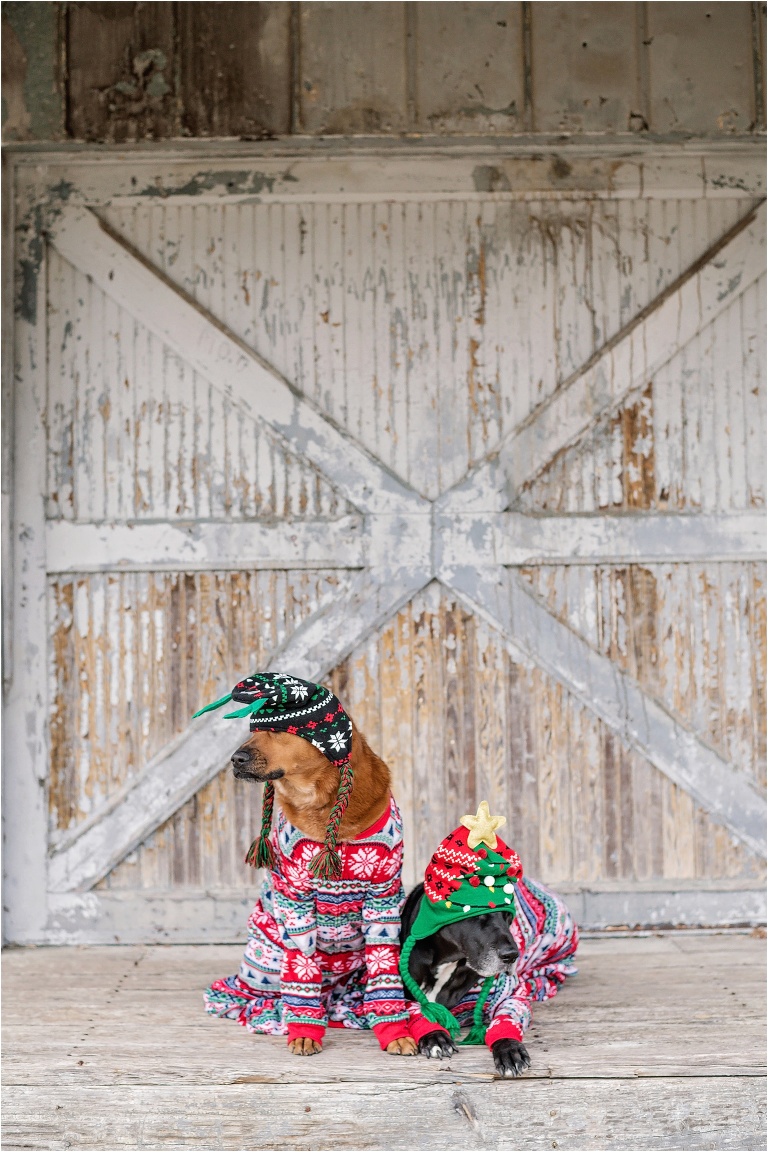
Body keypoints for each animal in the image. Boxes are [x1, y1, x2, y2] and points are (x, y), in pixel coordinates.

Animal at [231, 723, 416, 1055]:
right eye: (253, 727)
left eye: (278, 729)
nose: (235, 759)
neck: (323, 807)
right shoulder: (295, 905)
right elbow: (301, 967)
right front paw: (304, 1031)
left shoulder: (382, 901)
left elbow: (384, 973)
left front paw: (394, 1030)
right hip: (264, 965)